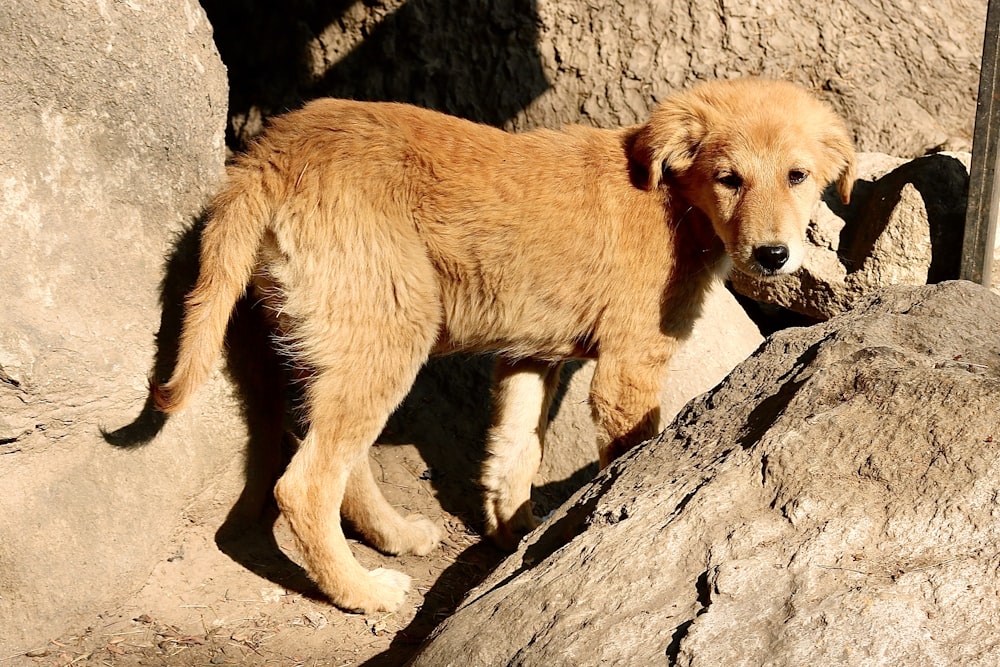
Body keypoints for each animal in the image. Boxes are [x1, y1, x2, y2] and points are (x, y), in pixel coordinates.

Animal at [152, 79, 856, 616]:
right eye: (730, 178)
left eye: (798, 176)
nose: (774, 256)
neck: (673, 200)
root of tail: (270, 151)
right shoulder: (629, 367)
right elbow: (628, 462)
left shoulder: (530, 357)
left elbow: (514, 455)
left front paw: (513, 539)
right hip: (393, 329)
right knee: (304, 485)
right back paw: (362, 592)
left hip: (335, 340)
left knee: (332, 455)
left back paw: (394, 536)